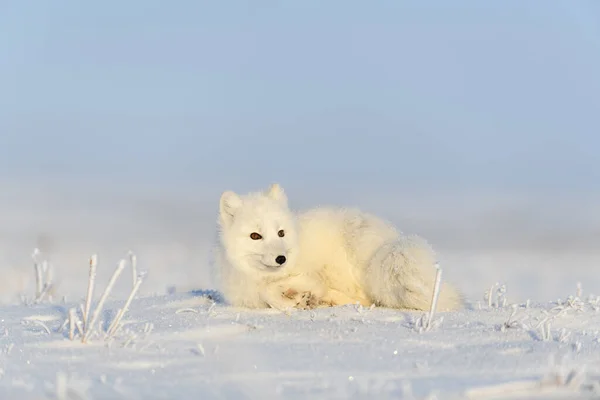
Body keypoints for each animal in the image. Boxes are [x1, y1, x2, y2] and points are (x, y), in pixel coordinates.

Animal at [213, 184, 462, 312]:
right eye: (255, 236)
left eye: (281, 233)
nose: (281, 258)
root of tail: (392, 239)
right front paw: (297, 300)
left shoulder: (309, 273)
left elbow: (276, 289)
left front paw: (295, 299)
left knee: (367, 298)